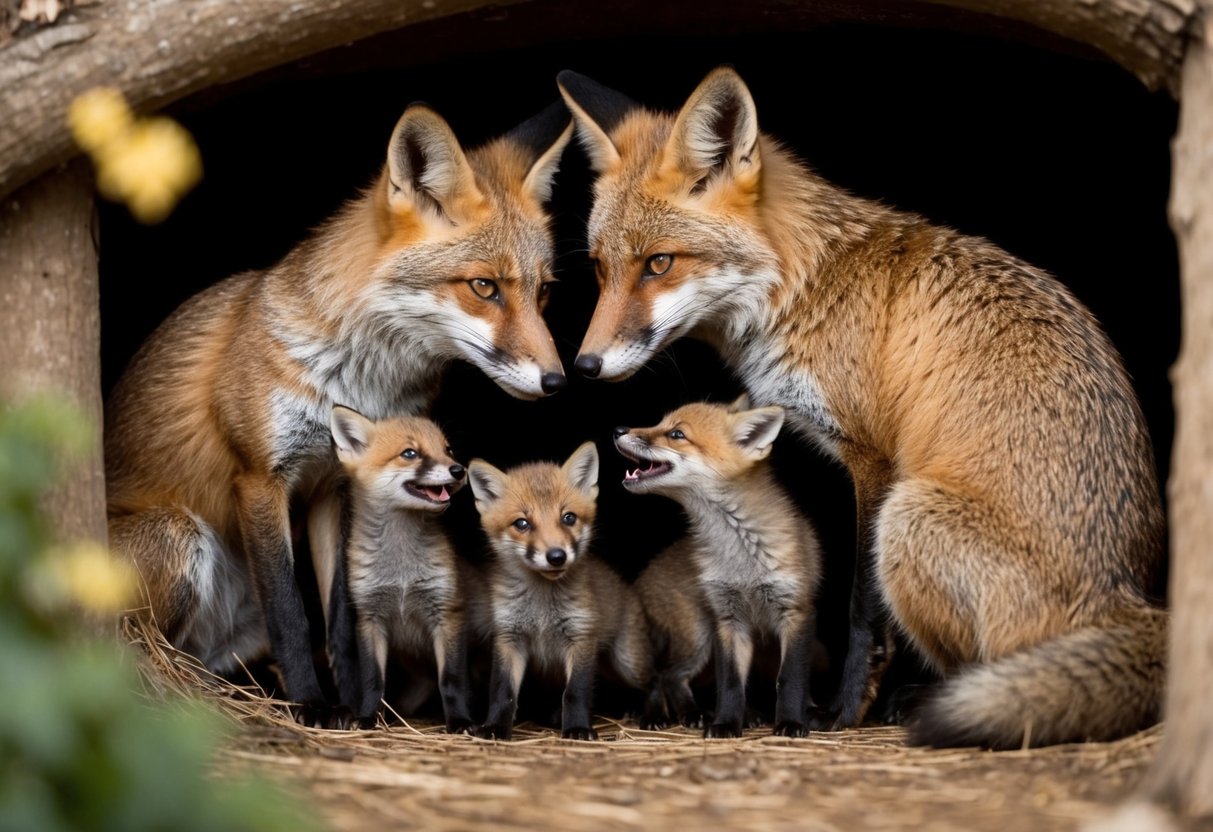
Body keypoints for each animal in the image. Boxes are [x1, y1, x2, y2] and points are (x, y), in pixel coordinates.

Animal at [105, 99, 573, 725]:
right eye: (484, 287)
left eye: (542, 292)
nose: (557, 380)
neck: (357, 381)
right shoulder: (261, 477)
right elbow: (293, 612)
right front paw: (309, 702)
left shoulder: (334, 485)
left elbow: (342, 614)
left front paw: (353, 701)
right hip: (179, 536)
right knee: (154, 646)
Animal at [467, 441, 652, 741]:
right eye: (522, 523)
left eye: (568, 518)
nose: (556, 556)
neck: (542, 605)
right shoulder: (509, 638)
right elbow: (503, 692)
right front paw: (494, 727)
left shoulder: (581, 637)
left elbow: (575, 692)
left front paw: (577, 729)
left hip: (628, 661)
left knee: (657, 681)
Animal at [617, 396, 823, 738]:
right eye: (660, 423)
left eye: (676, 434)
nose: (619, 429)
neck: (741, 555)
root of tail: (644, 576)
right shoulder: (728, 619)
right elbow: (730, 683)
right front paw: (725, 723)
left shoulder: (796, 612)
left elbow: (790, 678)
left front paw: (791, 722)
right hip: (698, 636)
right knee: (668, 675)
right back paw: (682, 714)